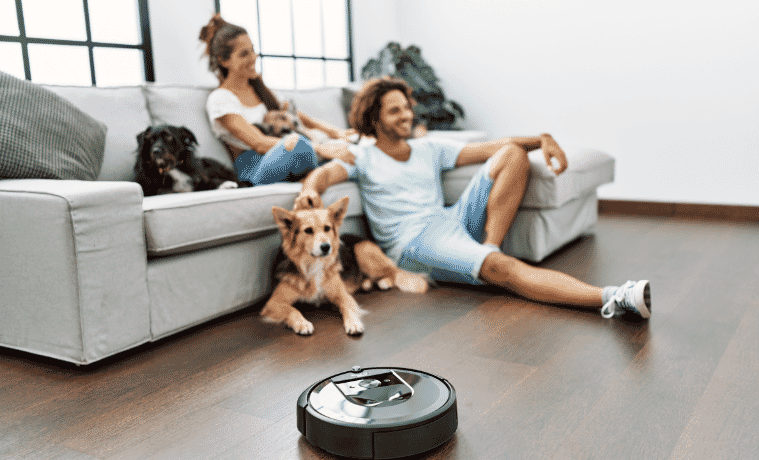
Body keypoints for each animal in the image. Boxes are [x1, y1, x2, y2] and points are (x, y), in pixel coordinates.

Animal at [260, 192, 428, 336]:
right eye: (308, 231)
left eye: (327, 228)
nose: (326, 247)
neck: (313, 264)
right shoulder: (273, 303)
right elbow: (292, 310)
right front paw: (302, 323)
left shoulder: (342, 295)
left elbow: (348, 307)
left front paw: (353, 323)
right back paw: (367, 283)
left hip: (363, 251)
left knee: (394, 271)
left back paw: (383, 282)